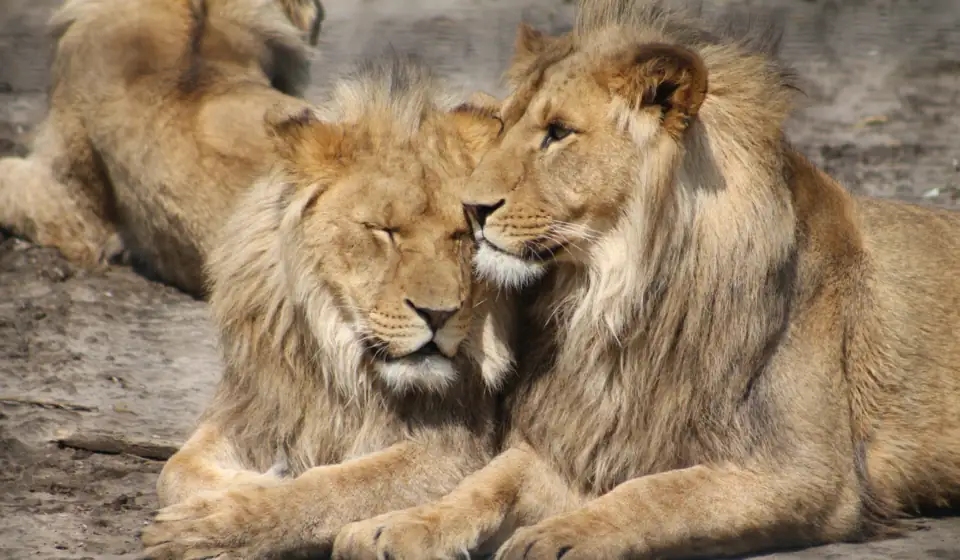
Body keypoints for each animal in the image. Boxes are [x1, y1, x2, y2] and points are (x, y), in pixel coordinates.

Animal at [138, 55, 515, 559]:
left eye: (464, 233)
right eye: (384, 230)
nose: (439, 315)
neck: (340, 364)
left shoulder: (459, 448)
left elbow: (334, 486)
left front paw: (217, 523)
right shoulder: (257, 405)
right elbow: (174, 470)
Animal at [332, 1, 960, 559]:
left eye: (558, 132)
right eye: (503, 126)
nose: (471, 209)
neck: (620, 301)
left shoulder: (808, 472)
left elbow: (663, 493)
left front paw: (558, 536)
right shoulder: (592, 434)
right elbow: (490, 478)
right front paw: (395, 525)